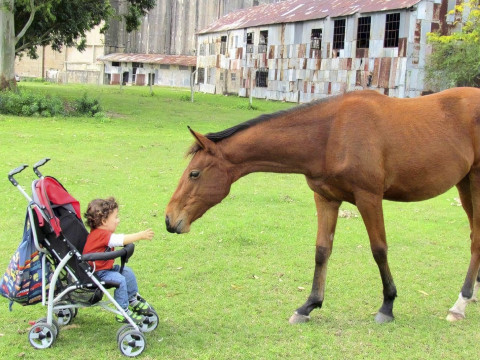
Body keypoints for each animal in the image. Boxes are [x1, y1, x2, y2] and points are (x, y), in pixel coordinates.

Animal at [164, 87, 480, 324]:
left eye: (194, 174)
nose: (169, 219)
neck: (330, 134)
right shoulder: (326, 198)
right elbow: (321, 251)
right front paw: (308, 306)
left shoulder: (369, 197)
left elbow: (379, 250)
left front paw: (387, 306)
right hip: (464, 184)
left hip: (475, 183)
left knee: (476, 239)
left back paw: (460, 303)